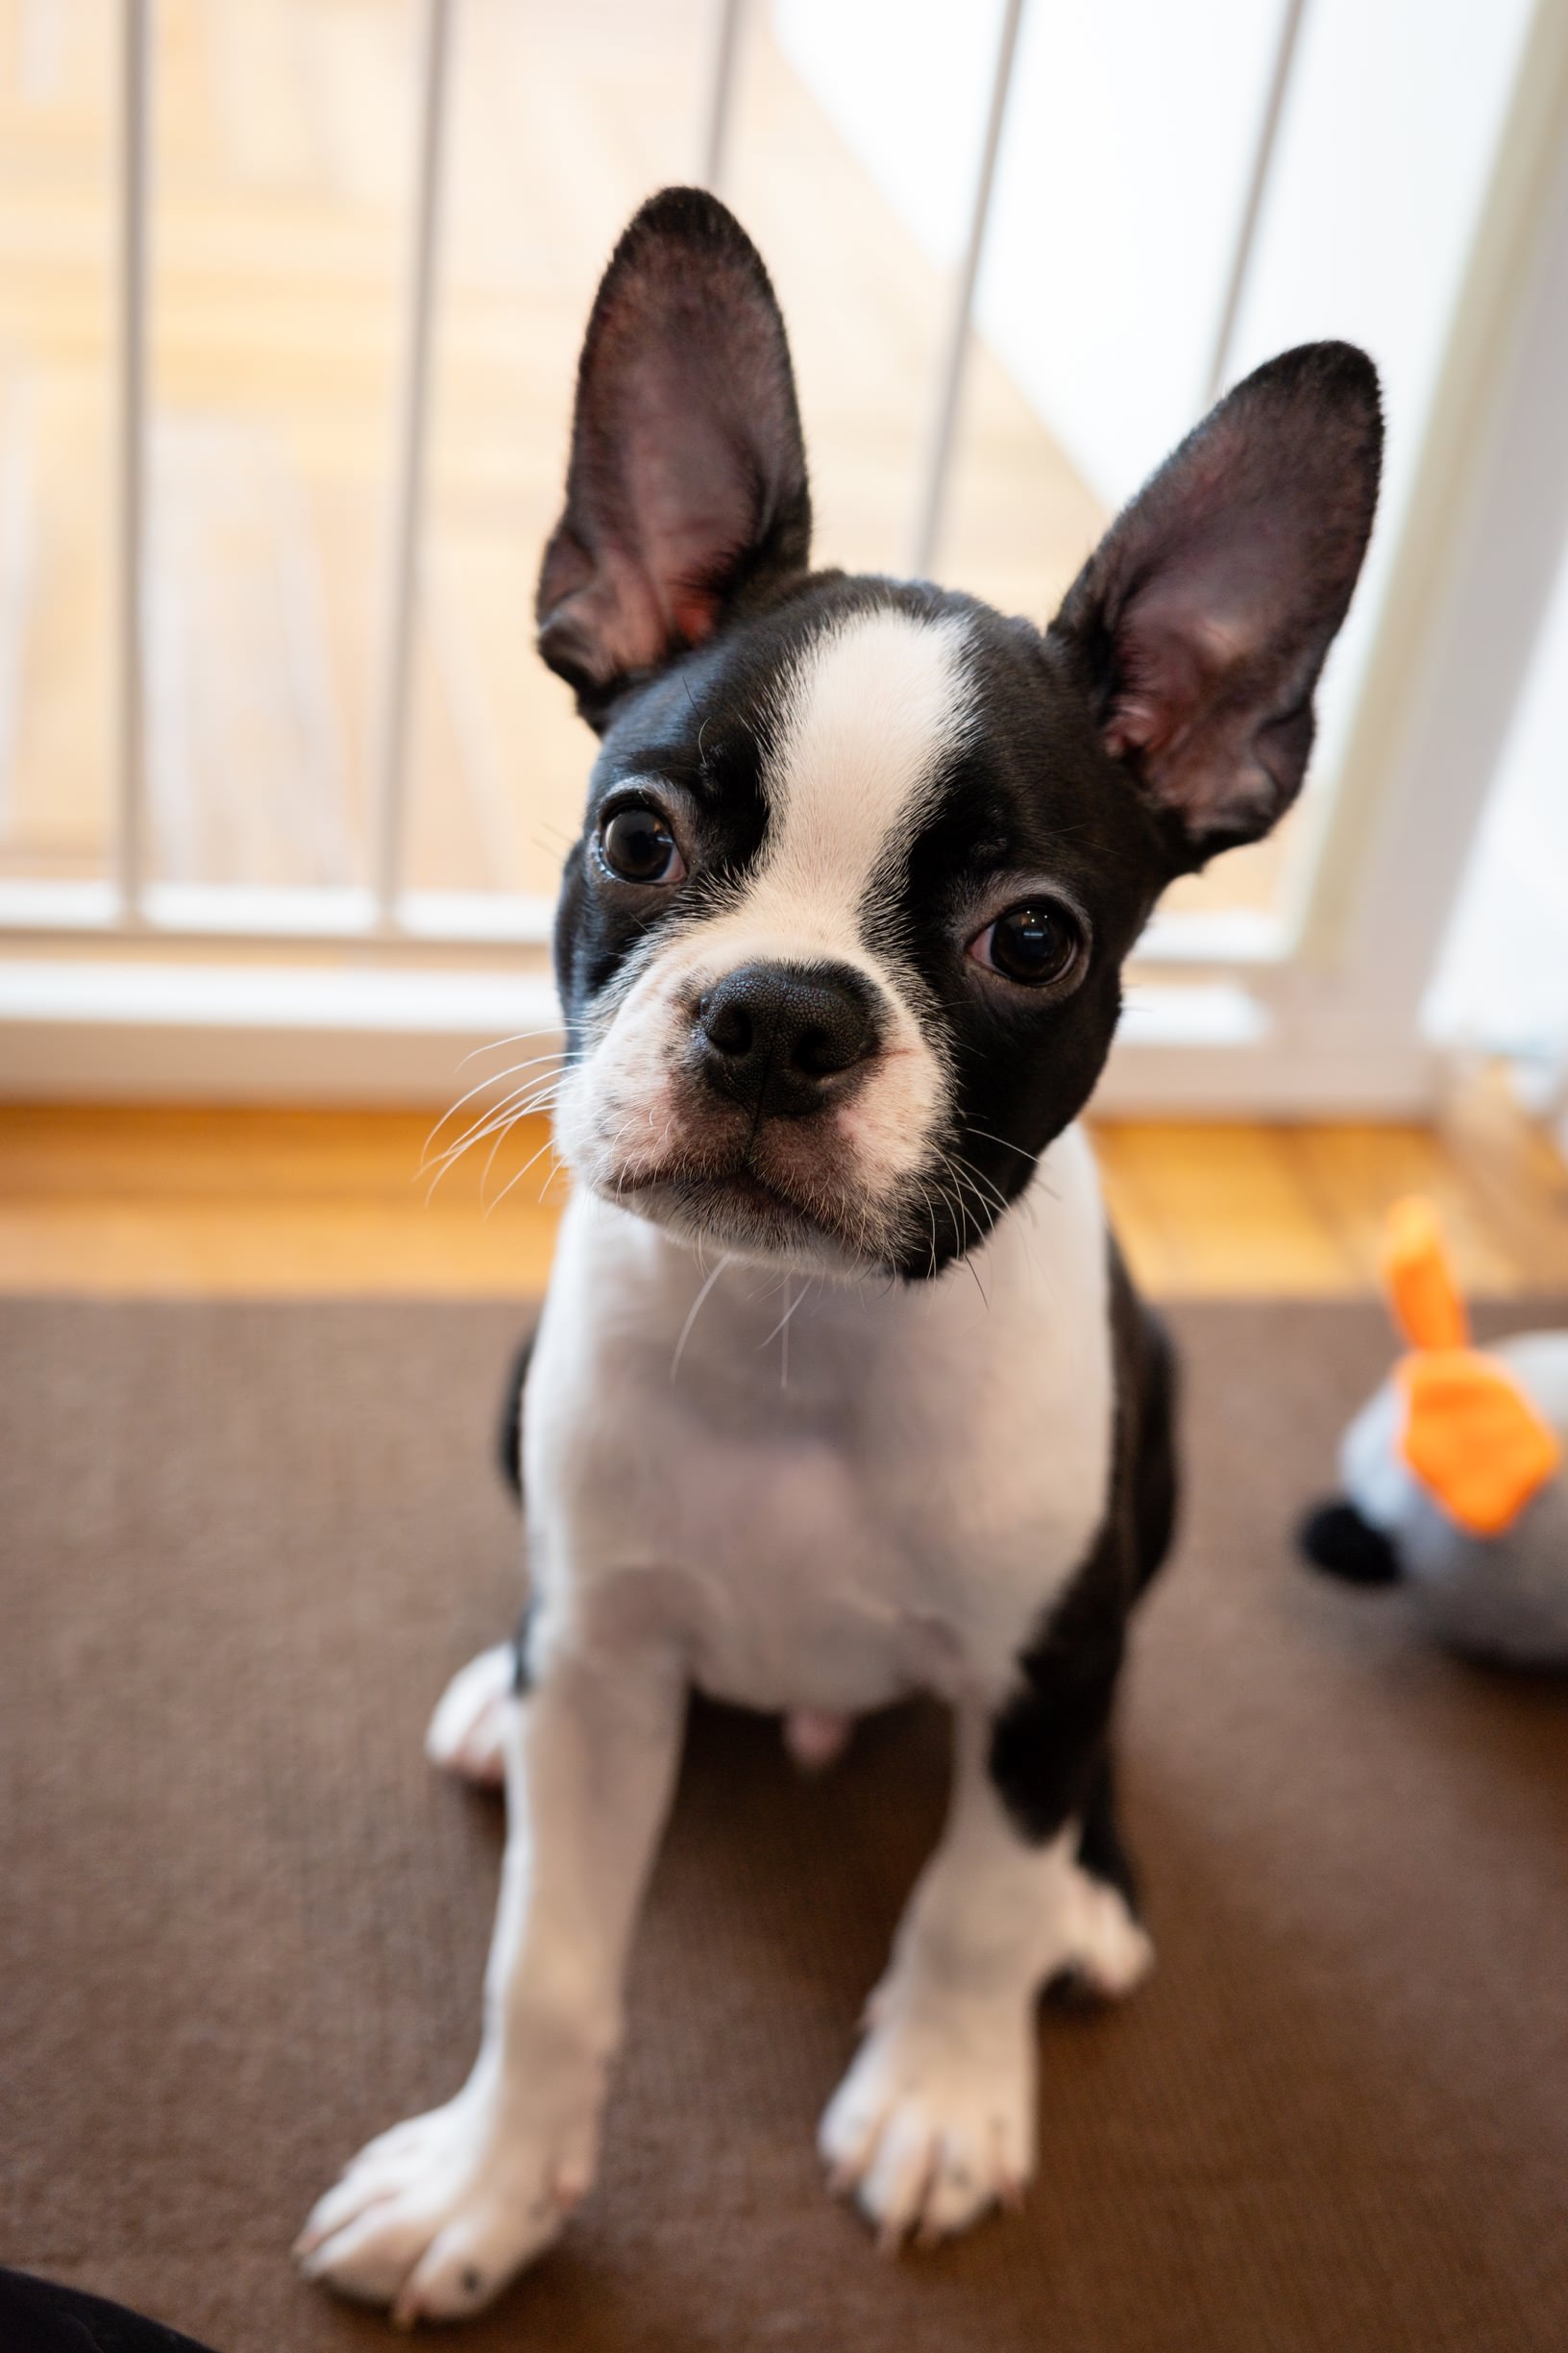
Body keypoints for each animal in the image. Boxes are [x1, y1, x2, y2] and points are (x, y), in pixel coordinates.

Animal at [296, 187, 1381, 2324]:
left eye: (1031, 939)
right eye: (636, 838)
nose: (782, 1013)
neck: (804, 1337)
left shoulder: (1047, 1657)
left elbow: (971, 1892)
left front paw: (948, 2087)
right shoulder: (613, 1659)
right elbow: (549, 1964)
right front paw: (490, 2184)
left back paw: (1092, 1899)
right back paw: (495, 1697)